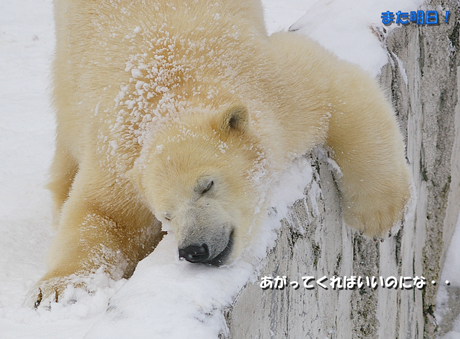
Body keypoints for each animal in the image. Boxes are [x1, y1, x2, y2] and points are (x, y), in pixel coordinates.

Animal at [27, 0, 410, 308]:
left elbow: (336, 85)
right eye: (166, 214)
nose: (194, 249)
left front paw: (378, 217)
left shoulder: (272, 91)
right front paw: (57, 291)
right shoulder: (120, 159)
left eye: (207, 185)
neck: (170, 95)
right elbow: (103, 215)